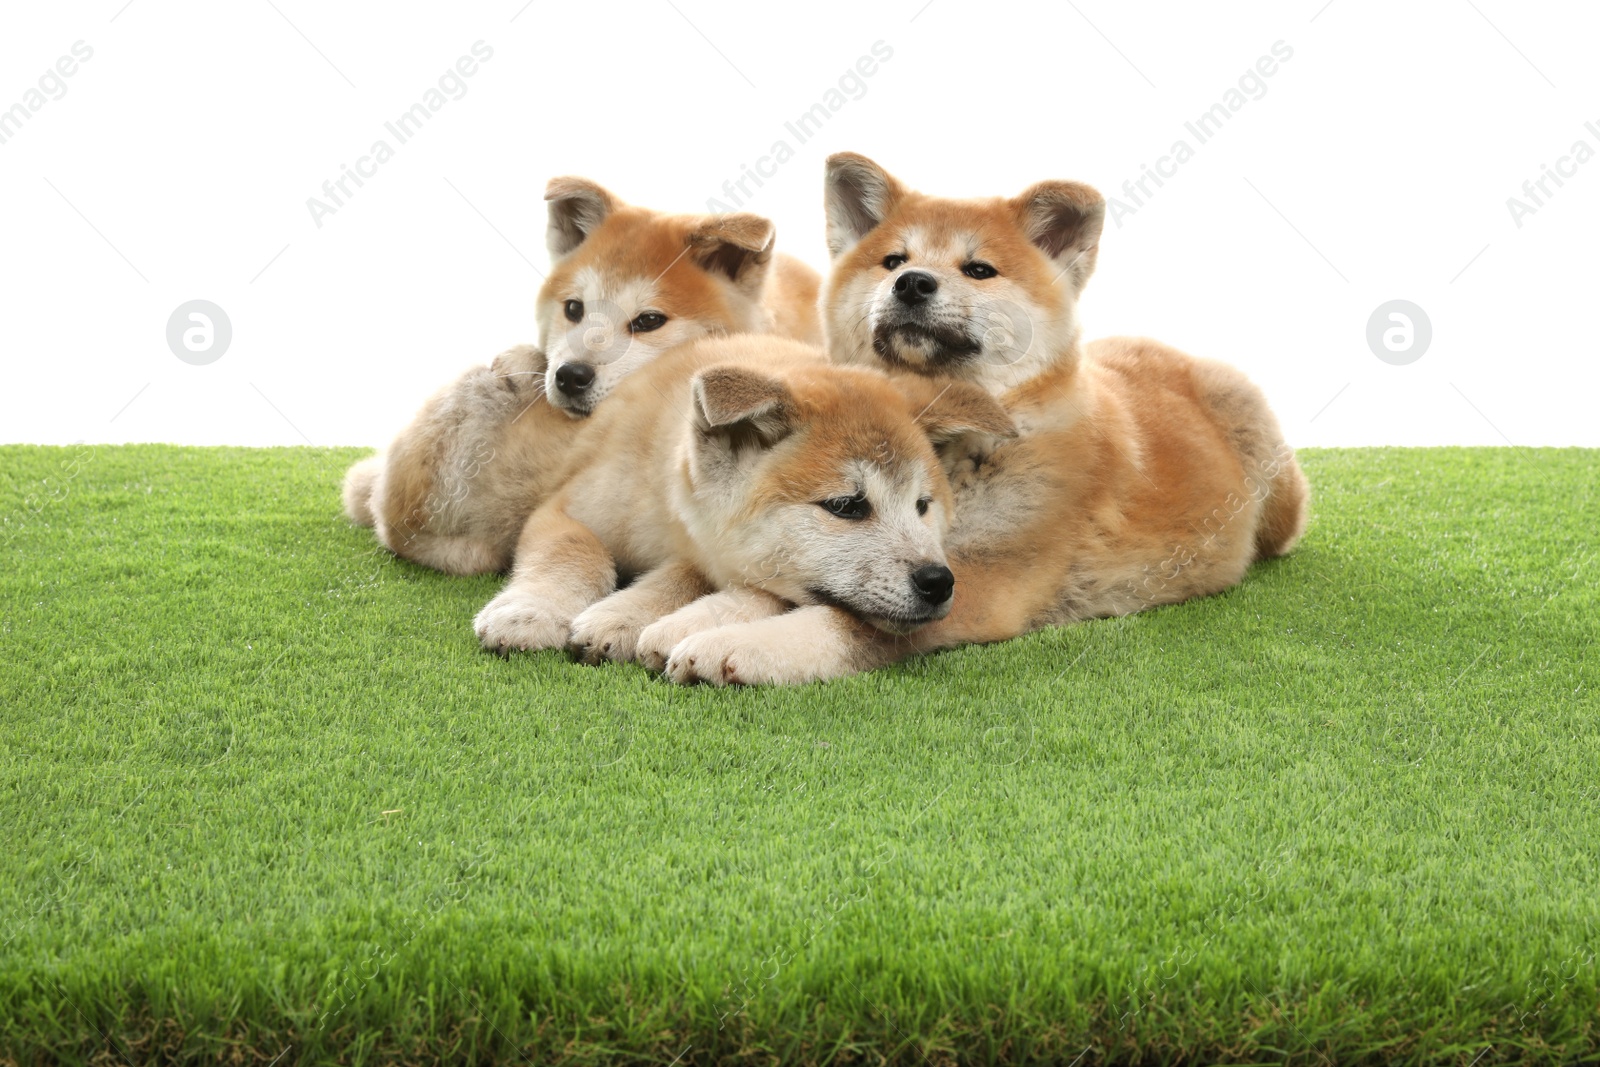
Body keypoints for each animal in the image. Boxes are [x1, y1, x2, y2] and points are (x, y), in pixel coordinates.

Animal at [467, 334, 1011, 668]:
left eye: (922, 505)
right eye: (846, 506)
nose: (938, 581)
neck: (665, 509)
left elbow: (692, 574)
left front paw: (625, 616)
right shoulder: (564, 508)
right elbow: (575, 552)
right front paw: (530, 613)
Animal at [652, 151, 1312, 684]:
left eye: (979, 270)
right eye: (893, 259)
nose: (912, 282)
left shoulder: (980, 580)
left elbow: (836, 619)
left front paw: (733, 646)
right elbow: (782, 585)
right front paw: (684, 619)